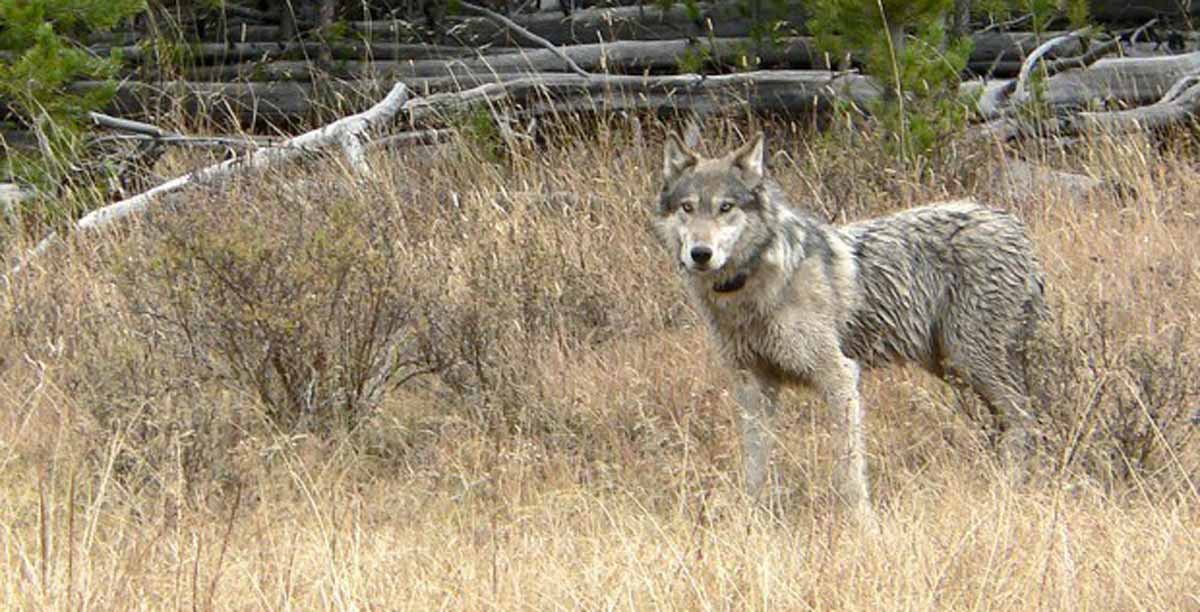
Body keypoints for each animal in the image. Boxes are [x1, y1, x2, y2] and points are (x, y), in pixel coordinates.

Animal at [653, 132, 1046, 518]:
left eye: (725, 207)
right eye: (687, 207)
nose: (700, 253)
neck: (751, 288)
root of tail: (1014, 225)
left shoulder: (839, 376)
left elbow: (849, 469)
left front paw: (862, 523)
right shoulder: (752, 385)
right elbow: (755, 466)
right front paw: (751, 518)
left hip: (971, 364)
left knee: (1024, 418)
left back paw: (1007, 489)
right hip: (953, 369)